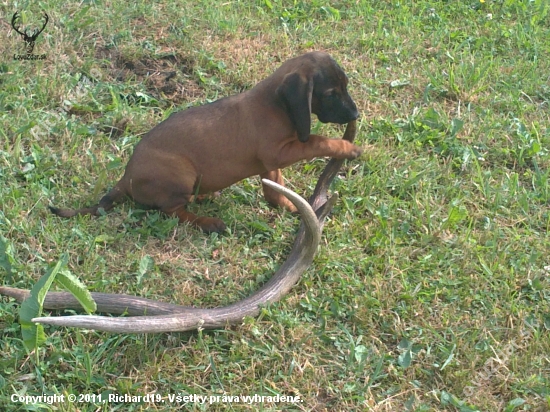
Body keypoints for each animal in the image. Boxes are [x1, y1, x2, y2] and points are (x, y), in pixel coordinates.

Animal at [49, 51, 364, 232]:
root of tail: (125, 178)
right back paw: (208, 222)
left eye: (345, 86)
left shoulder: (271, 162)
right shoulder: (280, 151)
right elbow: (317, 140)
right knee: (172, 212)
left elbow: (276, 187)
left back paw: (204, 196)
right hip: (181, 175)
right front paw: (347, 148)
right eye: (331, 93)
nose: (355, 114)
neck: (275, 104)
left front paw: (290, 206)